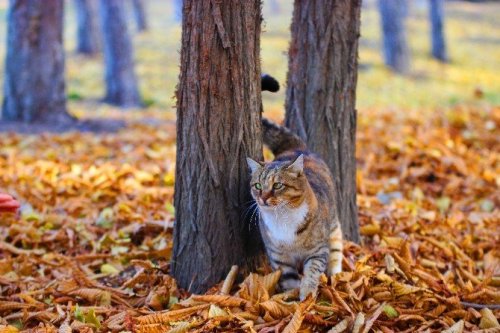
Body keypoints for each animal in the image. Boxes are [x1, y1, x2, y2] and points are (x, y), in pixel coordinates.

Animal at [247, 76, 344, 300]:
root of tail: (298, 147)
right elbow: (289, 280)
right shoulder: (279, 259)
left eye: (277, 185)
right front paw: (290, 300)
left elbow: (312, 272)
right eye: (258, 185)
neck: (283, 220)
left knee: (336, 250)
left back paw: (336, 275)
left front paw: (307, 295)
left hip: (334, 228)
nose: (263, 198)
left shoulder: (318, 250)